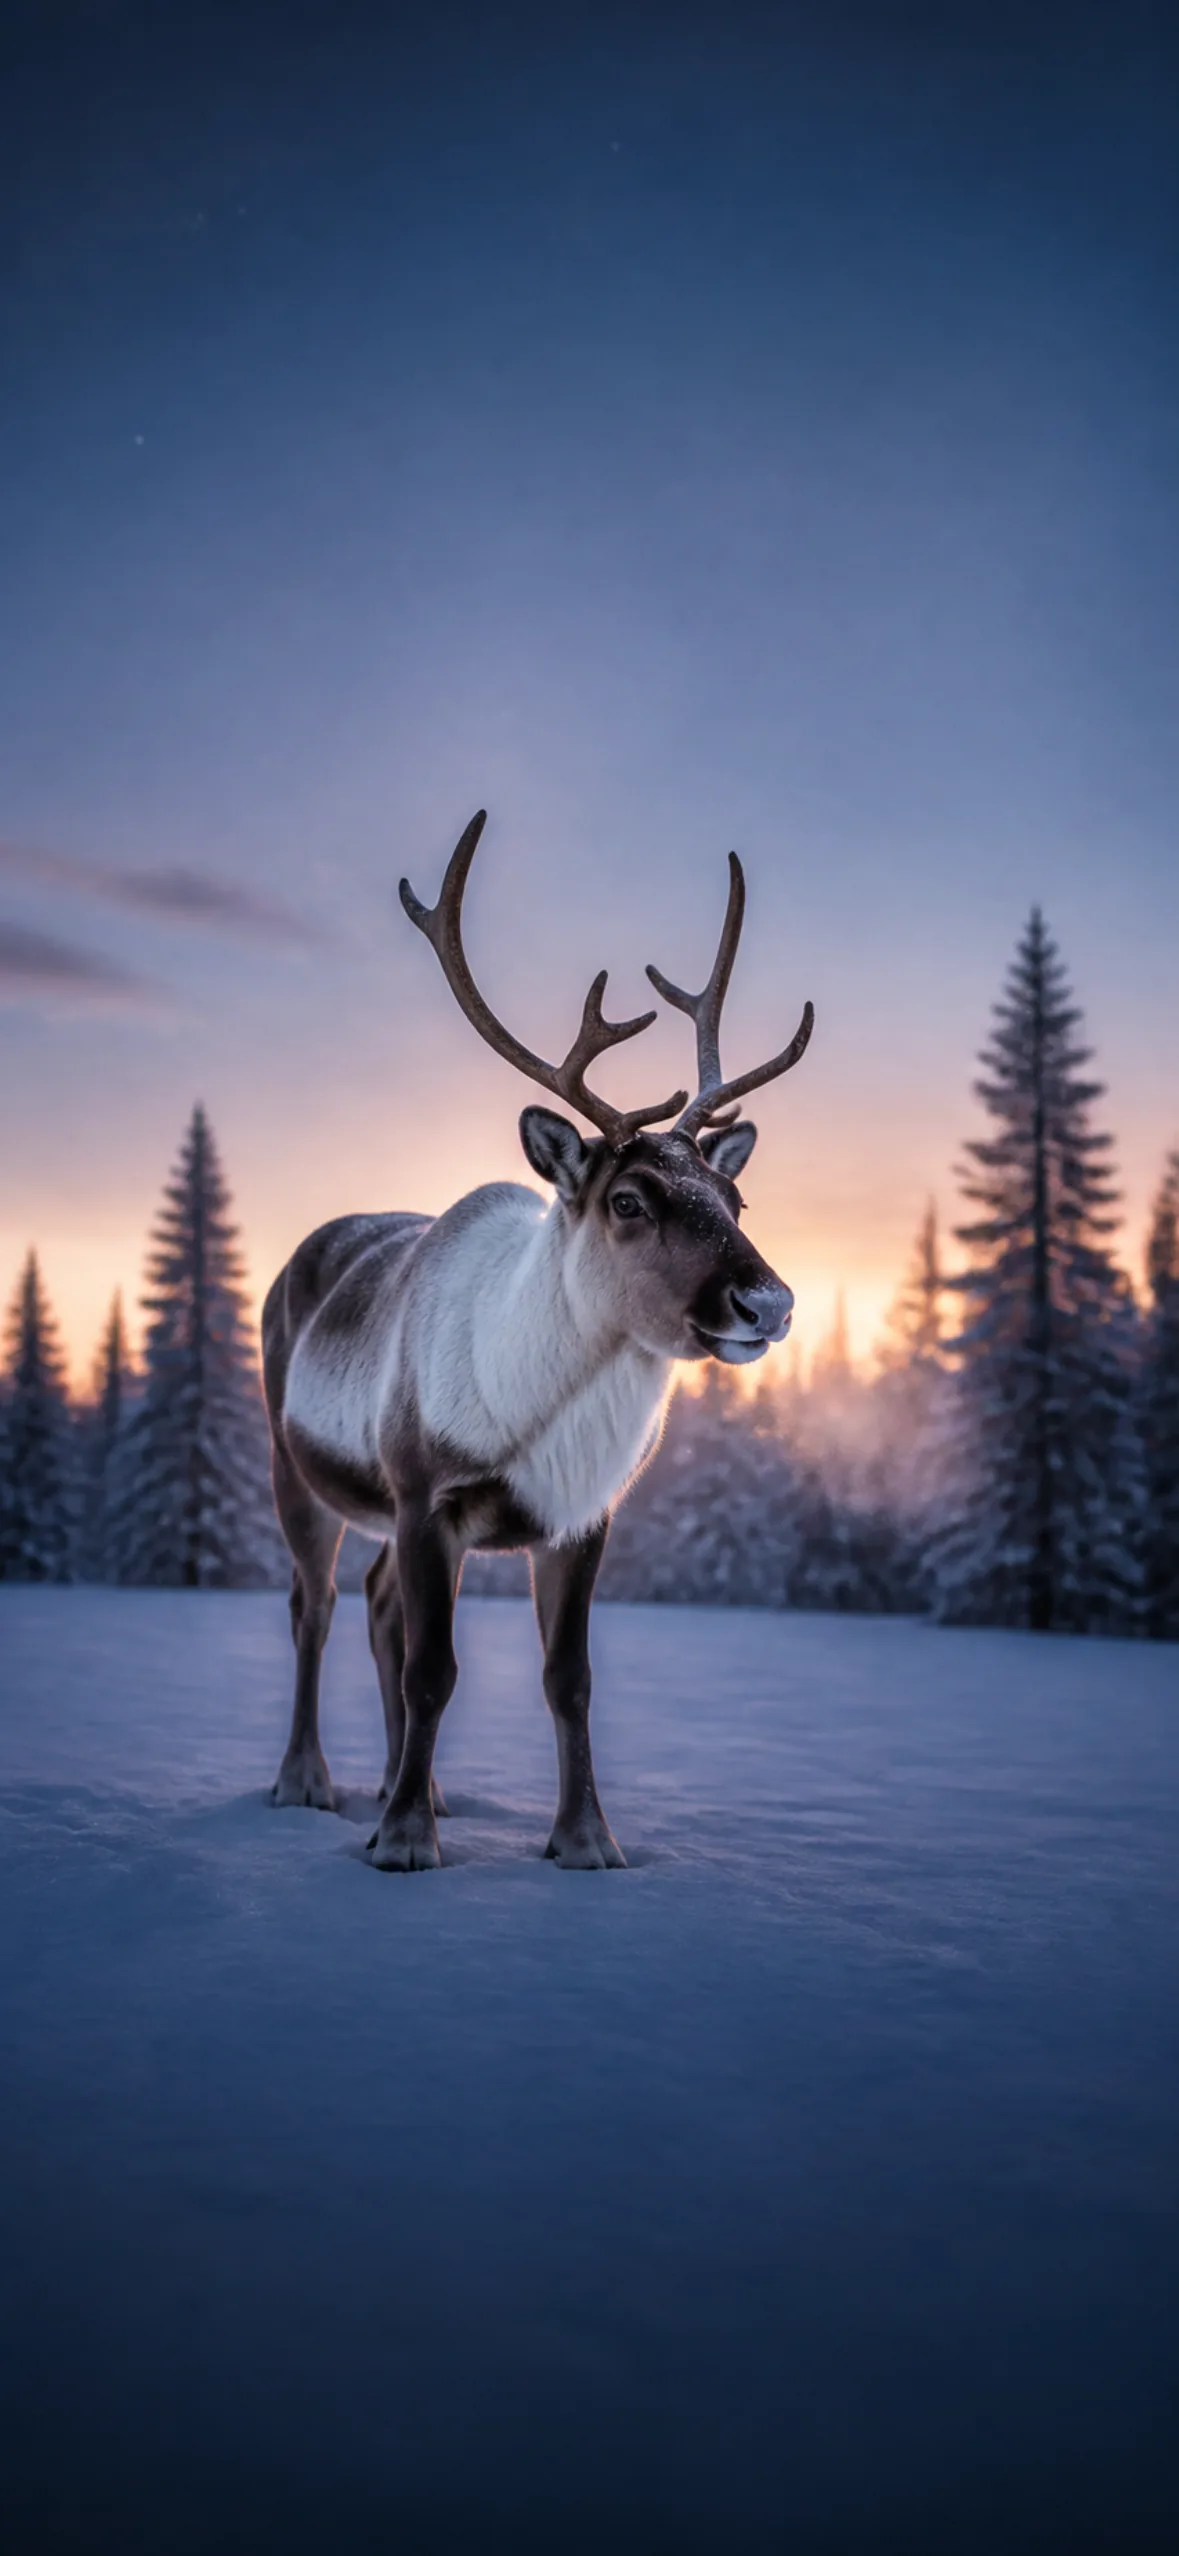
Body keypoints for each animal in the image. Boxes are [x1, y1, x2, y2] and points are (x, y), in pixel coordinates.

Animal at [262, 810, 814, 1871]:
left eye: (734, 1199)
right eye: (629, 1199)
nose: (766, 1302)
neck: (541, 1415)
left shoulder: (581, 1518)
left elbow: (569, 1679)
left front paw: (586, 1839)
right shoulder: (426, 1493)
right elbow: (435, 1670)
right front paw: (404, 1842)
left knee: (379, 1606)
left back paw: (409, 1785)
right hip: (295, 1466)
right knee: (317, 1608)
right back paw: (307, 1782)